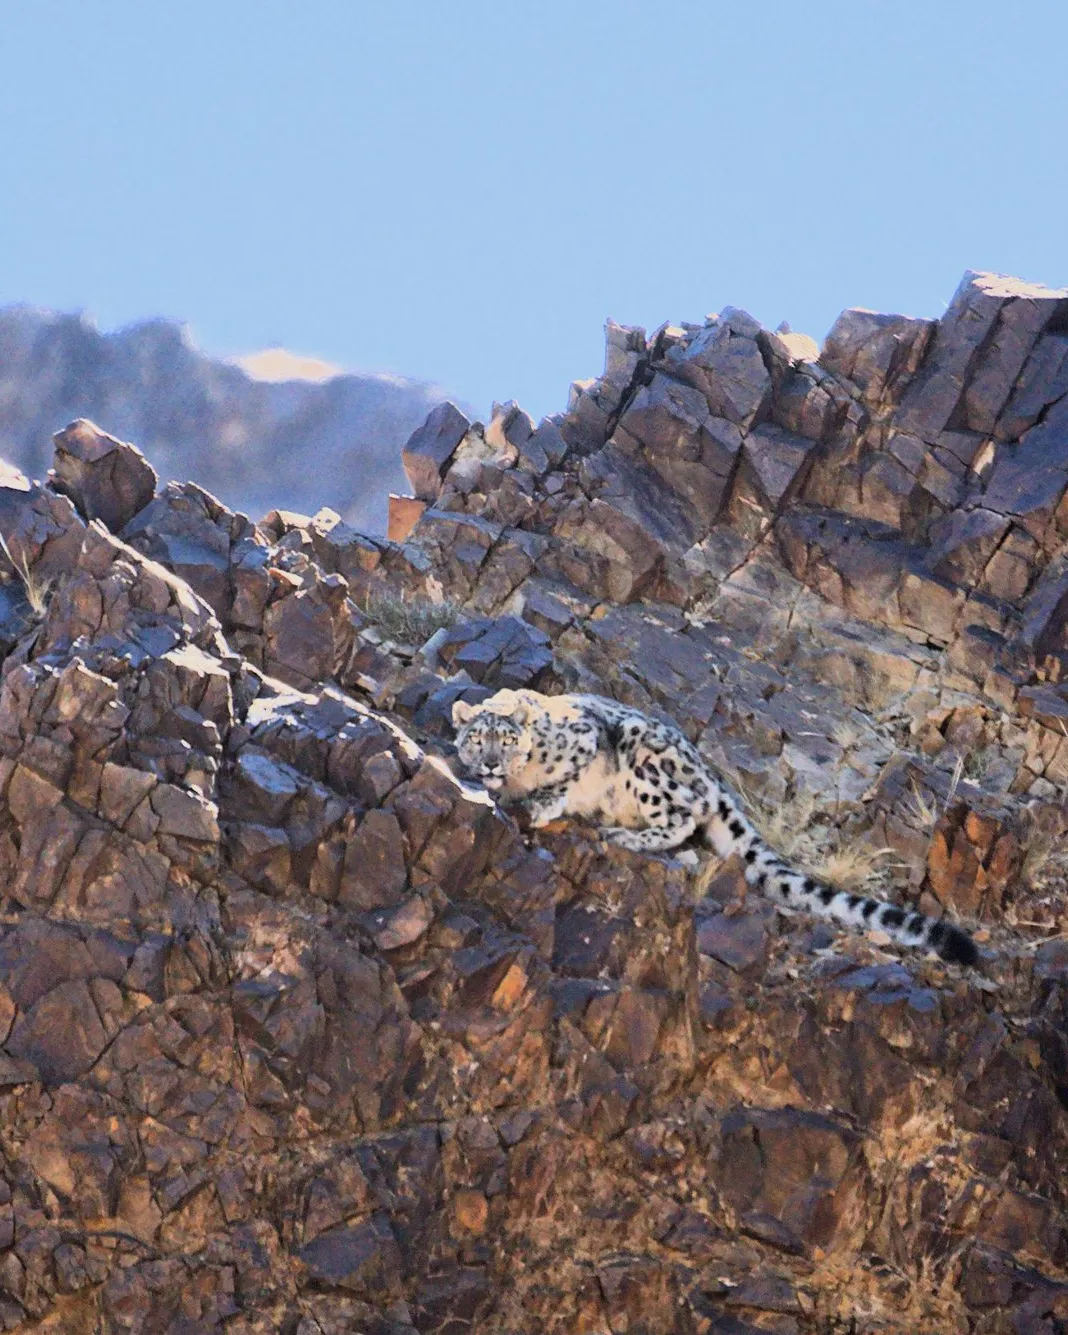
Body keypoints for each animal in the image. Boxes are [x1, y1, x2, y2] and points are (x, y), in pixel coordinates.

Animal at [452, 687, 979, 967]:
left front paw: (543, 800)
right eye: (476, 739)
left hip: (649, 765)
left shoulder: (584, 737)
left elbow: (566, 774)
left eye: (507, 739)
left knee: (683, 814)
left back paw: (625, 832)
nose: (493, 763)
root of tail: (710, 773)